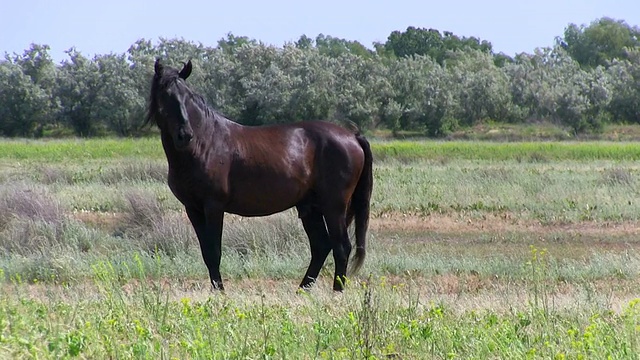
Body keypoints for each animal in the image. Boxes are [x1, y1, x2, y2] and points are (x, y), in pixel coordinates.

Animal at [147, 58, 372, 290]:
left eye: (188, 96)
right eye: (165, 95)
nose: (185, 135)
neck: (204, 143)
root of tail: (353, 137)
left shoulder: (214, 206)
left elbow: (214, 252)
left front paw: (220, 292)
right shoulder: (193, 208)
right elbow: (207, 253)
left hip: (334, 206)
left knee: (341, 247)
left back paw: (336, 291)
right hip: (311, 208)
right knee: (322, 246)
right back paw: (302, 291)